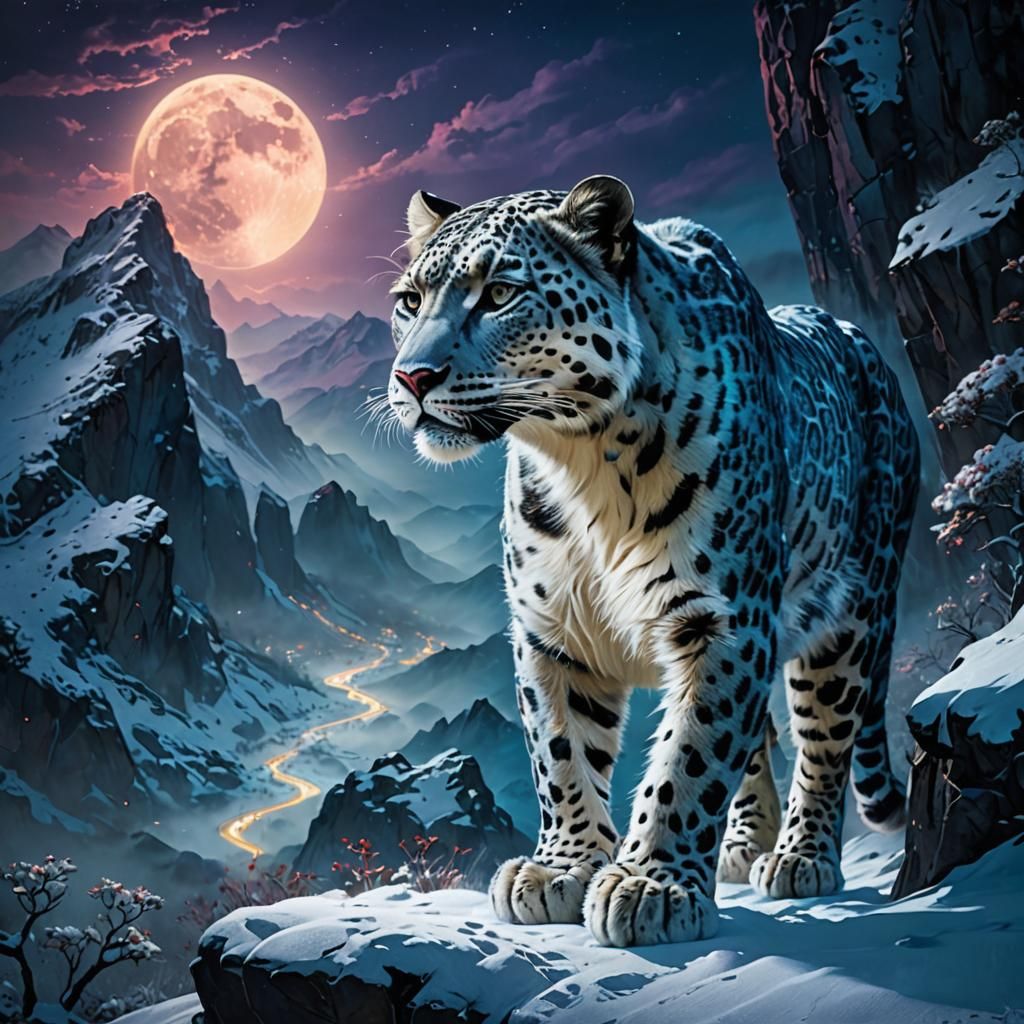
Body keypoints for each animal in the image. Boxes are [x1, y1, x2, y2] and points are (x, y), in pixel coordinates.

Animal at [384, 175, 918, 947]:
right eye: (409, 301)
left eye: (500, 294)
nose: (412, 377)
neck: (584, 465)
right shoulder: (554, 632)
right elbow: (561, 752)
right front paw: (561, 869)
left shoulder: (723, 623)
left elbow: (692, 754)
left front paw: (650, 884)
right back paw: (743, 845)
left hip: (852, 610)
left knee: (824, 735)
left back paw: (800, 857)